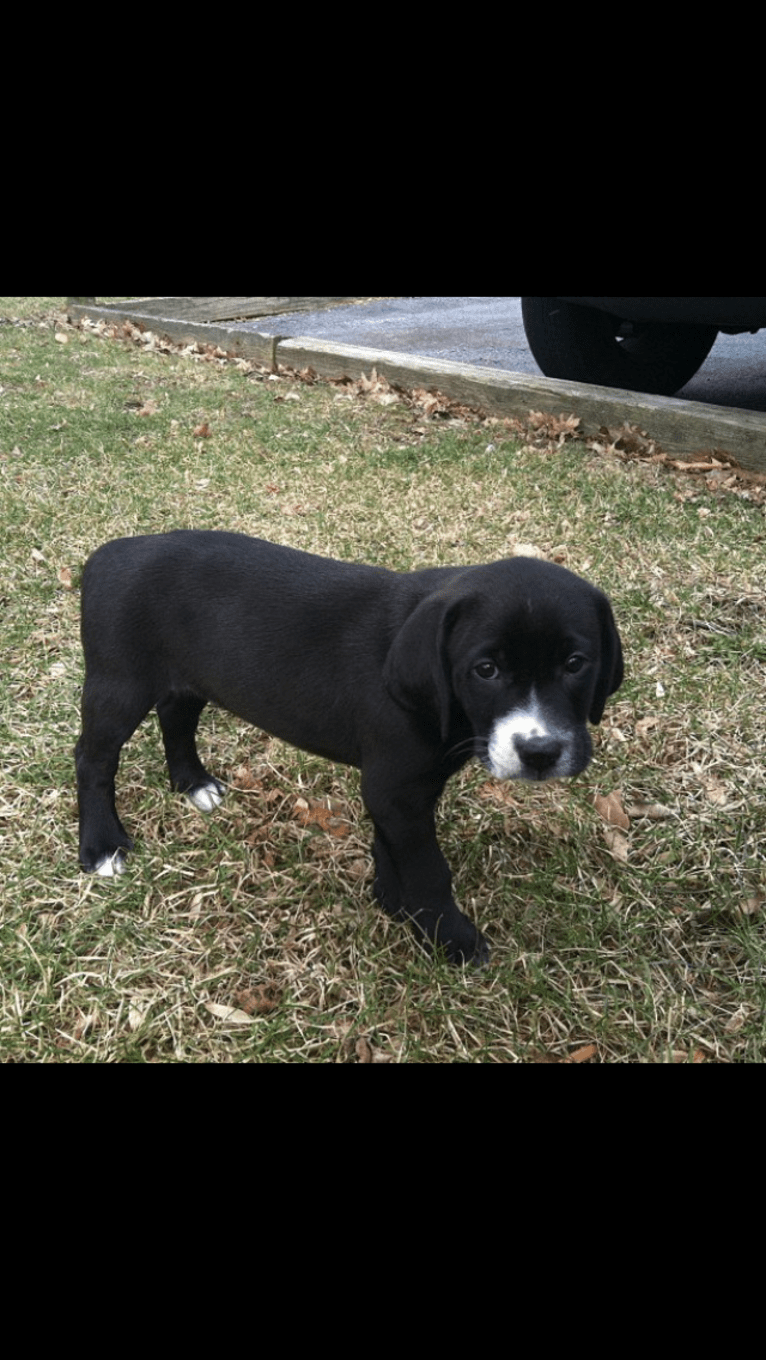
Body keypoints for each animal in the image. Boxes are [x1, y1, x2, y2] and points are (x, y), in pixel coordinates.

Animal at [74, 530, 623, 968]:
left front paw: (393, 902)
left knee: (176, 715)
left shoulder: (398, 789)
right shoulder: (395, 786)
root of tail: (111, 551)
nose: (540, 752)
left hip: (188, 676)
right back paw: (101, 845)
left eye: (576, 663)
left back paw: (192, 783)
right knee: (93, 758)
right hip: (118, 682)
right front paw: (451, 937)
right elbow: (429, 869)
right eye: (485, 670)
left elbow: (390, 843)